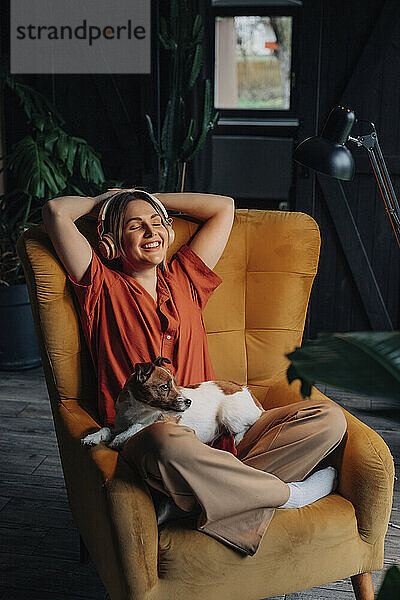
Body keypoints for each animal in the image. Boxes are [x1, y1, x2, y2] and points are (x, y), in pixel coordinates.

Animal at [81, 356, 264, 450]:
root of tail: (244, 389)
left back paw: (237, 438)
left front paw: (120, 439)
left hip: (229, 415)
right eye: (165, 387)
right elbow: (106, 428)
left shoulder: (164, 421)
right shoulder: (119, 424)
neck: (139, 409)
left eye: (176, 384)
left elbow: (139, 426)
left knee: (249, 424)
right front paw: (93, 437)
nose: (189, 402)